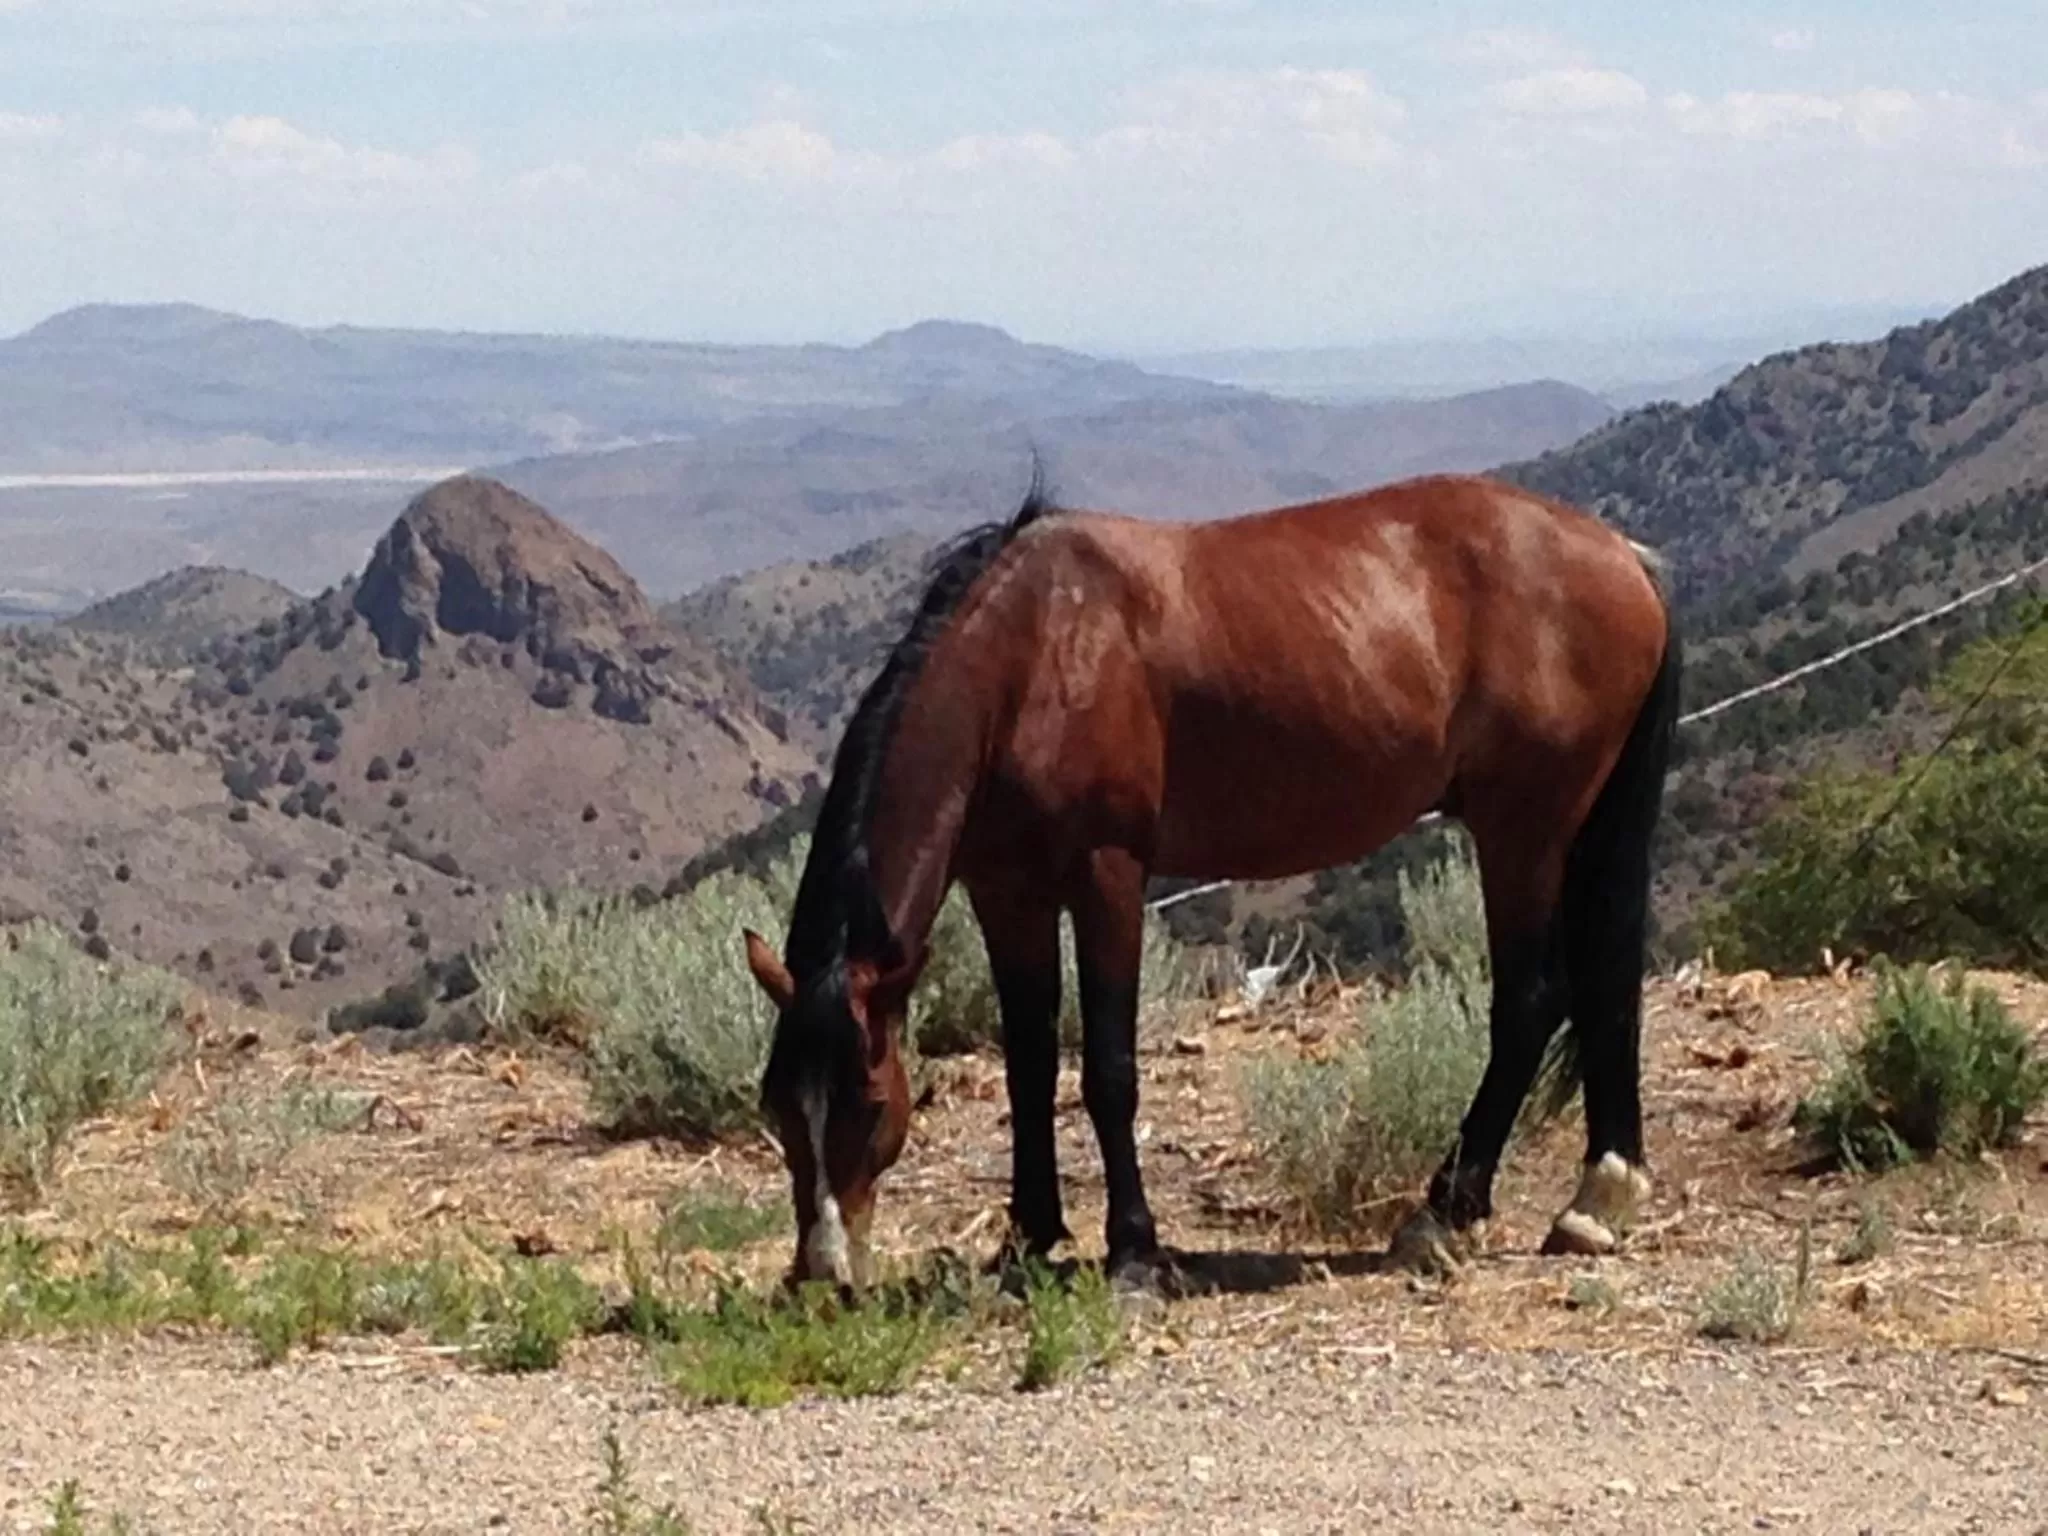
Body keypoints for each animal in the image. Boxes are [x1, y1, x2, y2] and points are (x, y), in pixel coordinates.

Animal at [742, 468, 1681, 1292]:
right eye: (780, 1105)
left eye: (868, 1102)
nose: (821, 1275)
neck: (1034, 652)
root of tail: (1627, 557)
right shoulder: (1008, 891)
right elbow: (1028, 1065)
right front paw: (1027, 1237)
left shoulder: (1109, 874)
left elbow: (1109, 1069)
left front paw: (1133, 1250)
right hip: (1574, 827)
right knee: (1604, 984)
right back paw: (1597, 1199)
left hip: (1522, 828)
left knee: (1531, 999)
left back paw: (1443, 1214)